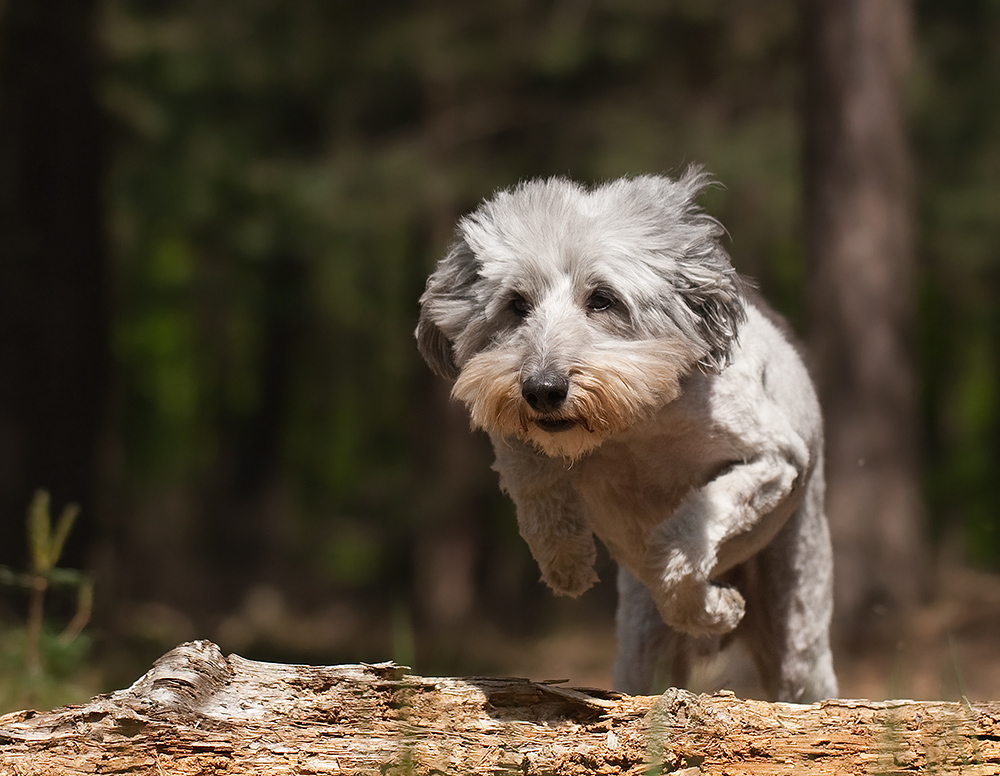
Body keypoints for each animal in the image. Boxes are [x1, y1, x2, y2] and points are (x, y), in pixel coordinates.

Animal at [418, 168, 840, 704]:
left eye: (602, 299)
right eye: (517, 304)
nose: (542, 390)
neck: (630, 424)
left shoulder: (773, 459)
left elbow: (681, 542)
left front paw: (717, 608)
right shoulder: (517, 436)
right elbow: (536, 487)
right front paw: (569, 565)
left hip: (796, 620)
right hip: (643, 643)